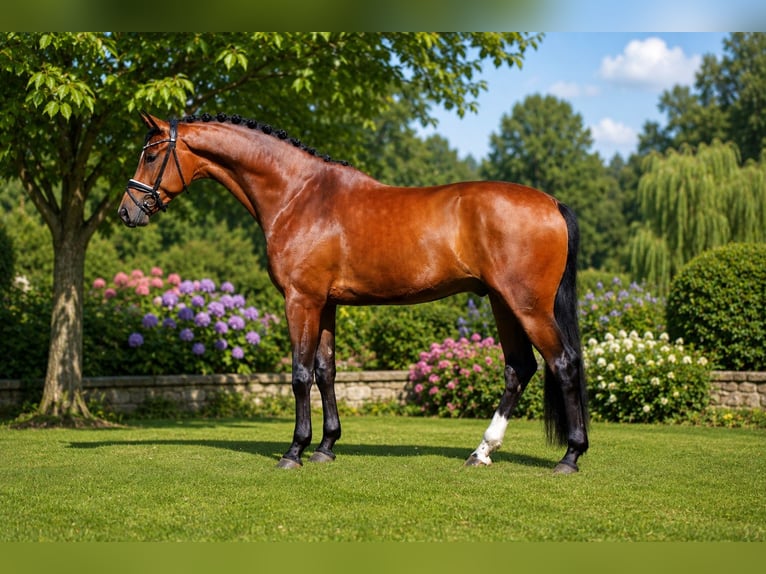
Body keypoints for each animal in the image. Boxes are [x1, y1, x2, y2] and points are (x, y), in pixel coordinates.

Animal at [118, 111, 589, 474]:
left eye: (152, 154)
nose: (127, 211)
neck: (298, 194)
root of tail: (552, 203)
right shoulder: (326, 304)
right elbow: (326, 371)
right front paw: (326, 447)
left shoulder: (301, 300)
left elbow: (300, 374)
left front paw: (294, 451)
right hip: (502, 303)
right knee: (519, 368)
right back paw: (482, 452)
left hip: (526, 305)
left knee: (563, 362)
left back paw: (570, 456)